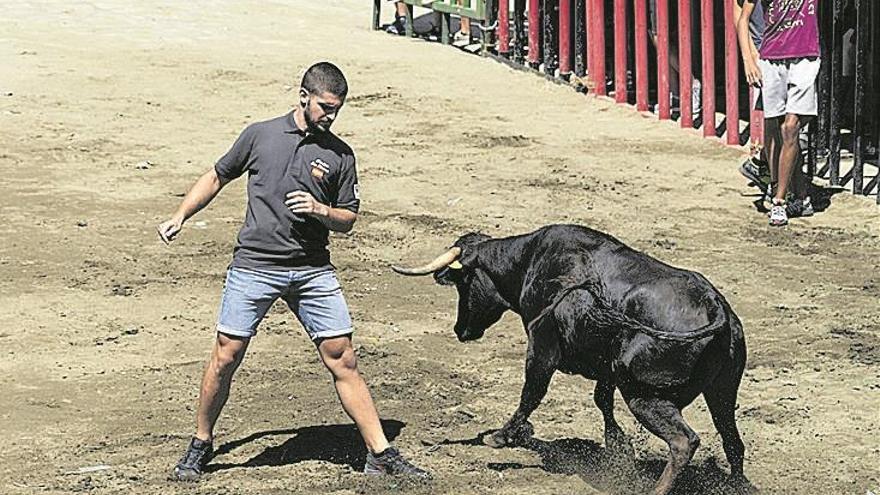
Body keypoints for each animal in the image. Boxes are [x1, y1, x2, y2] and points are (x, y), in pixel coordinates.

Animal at [396, 226, 744, 495]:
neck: (529, 259)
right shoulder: (606, 366)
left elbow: (531, 393)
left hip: (644, 396)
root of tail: (715, 306)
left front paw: (503, 436)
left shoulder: (542, 347)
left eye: (463, 283)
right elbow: (602, 400)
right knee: (732, 441)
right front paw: (619, 449)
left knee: (684, 442)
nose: (460, 330)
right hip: (722, 392)